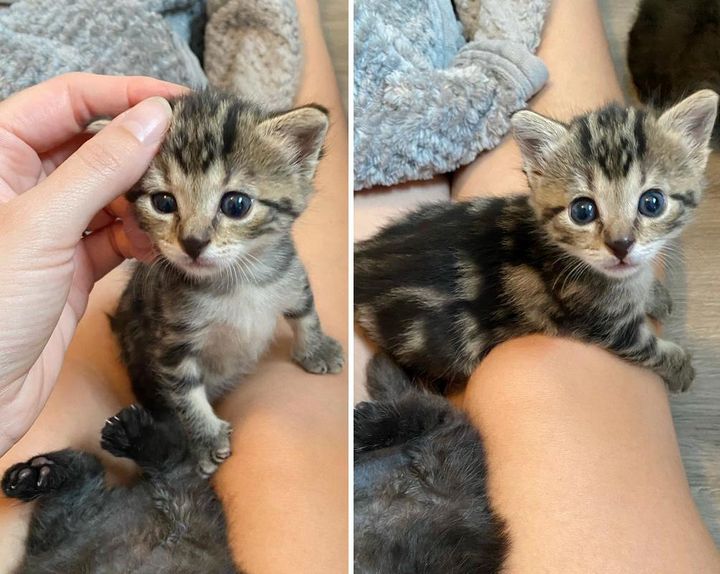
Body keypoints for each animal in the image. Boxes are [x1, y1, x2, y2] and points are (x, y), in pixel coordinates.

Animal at [113, 90, 346, 476]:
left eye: (236, 204)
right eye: (163, 202)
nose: (193, 242)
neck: (235, 282)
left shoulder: (289, 273)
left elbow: (305, 312)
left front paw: (316, 349)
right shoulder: (171, 338)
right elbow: (185, 392)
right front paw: (206, 440)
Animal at [352, 91, 716, 396]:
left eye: (652, 203)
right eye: (583, 211)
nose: (621, 244)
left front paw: (654, 294)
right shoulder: (602, 325)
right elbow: (646, 347)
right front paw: (680, 368)